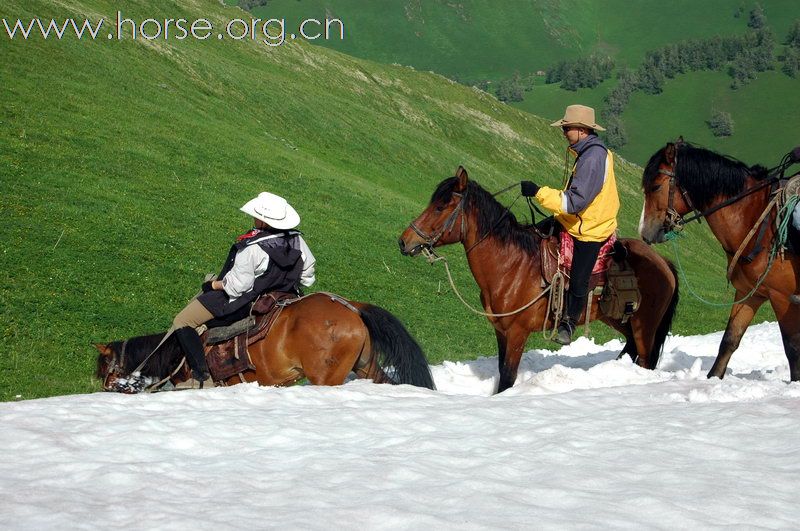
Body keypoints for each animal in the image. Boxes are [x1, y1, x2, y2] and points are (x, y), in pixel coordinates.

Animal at [396, 166, 680, 394]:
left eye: (440, 207)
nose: (404, 241)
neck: (512, 266)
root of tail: (663, 263)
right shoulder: (501, 332)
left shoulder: (517, 333)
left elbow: (508, 377)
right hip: (621, 319)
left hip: (645, 326)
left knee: (644, 358)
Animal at [640, 140, 800, 382]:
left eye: (656, 187)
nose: (644, 232)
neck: (756, 222)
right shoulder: (749, 293)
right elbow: (729, 340)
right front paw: (714, 377)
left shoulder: (782, 297)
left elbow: (792, 347)